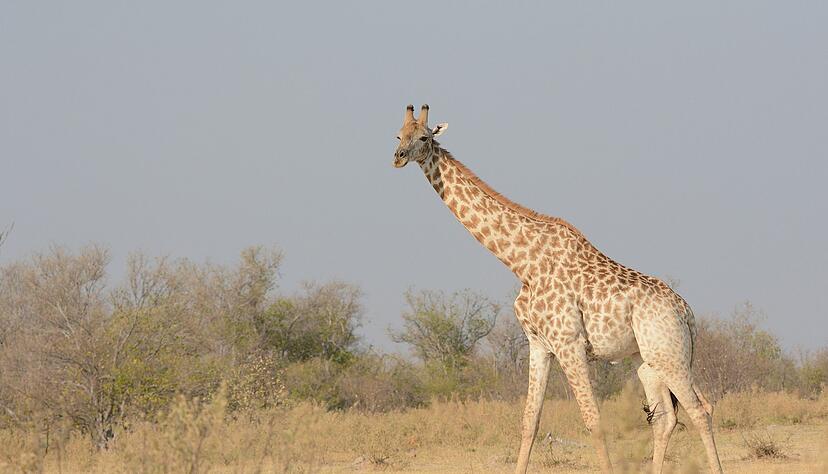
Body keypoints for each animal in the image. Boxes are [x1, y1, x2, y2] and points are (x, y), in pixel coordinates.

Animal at [392, 104, 723, 474]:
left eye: (424, 137)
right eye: (398, 135)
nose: (398, 157)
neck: (522, 263)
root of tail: (687, 312)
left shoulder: (569, 343)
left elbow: (593, 420)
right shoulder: (539, 344)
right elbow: (529, 421)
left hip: (669, 354)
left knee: (700, 410)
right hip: (650, 360)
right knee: (667, 417)